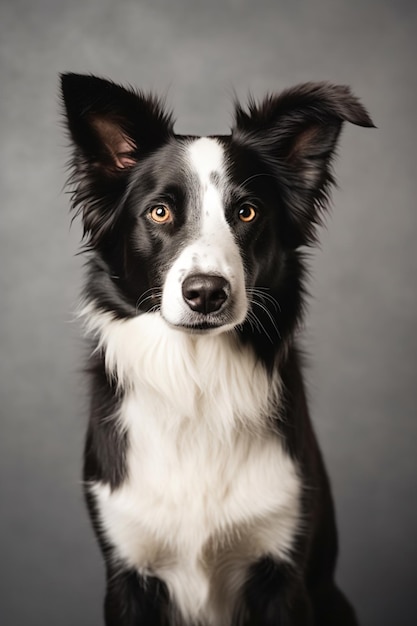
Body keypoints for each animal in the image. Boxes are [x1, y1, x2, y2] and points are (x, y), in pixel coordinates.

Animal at [61, 74, 374, 624]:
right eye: (160, 211)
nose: (206, 293)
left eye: (246, 211)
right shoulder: (127, 571)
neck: (198, 381)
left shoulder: (283, 574)